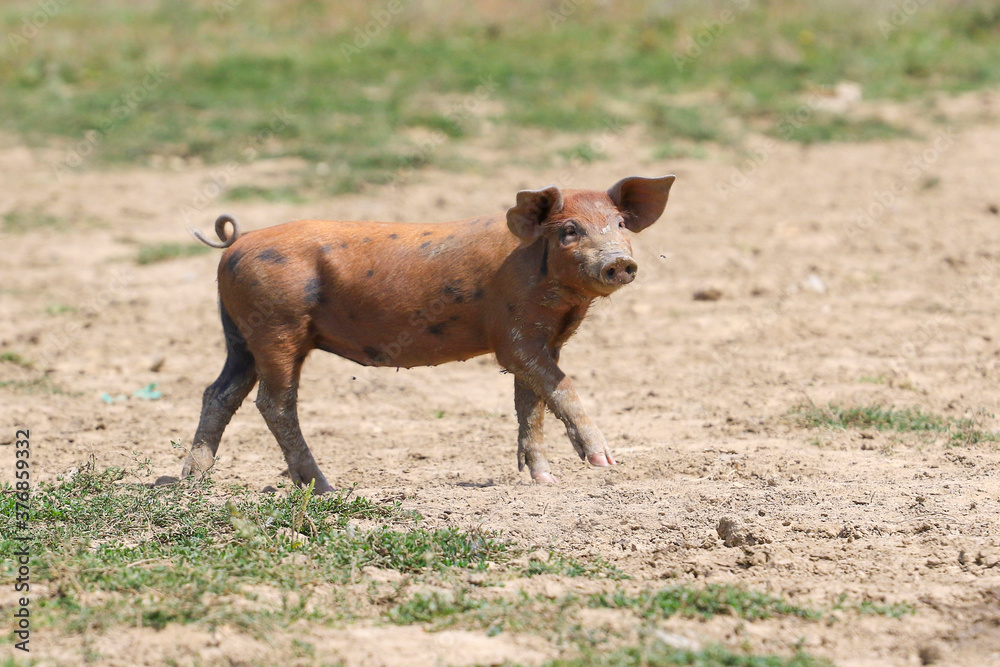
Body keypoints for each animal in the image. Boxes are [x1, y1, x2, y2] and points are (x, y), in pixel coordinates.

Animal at [181, 175, 675, 492]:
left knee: (219, 393)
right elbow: (561, 388)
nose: (619, 261)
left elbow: (532, 405)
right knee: (274, 403)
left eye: (620, 225)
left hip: (240, 335)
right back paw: (324, 487)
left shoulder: (543, 341)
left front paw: (543, 480)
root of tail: (237, 242)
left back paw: (193, 481)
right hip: (277, 327)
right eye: (570, 230)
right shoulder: (513, 337)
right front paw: (604, 462)